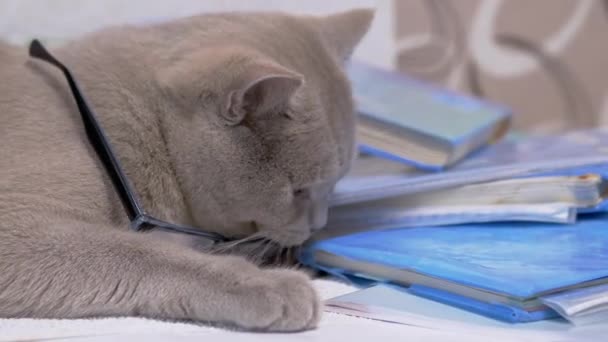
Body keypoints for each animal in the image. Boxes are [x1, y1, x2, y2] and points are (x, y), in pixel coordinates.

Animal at [0, 10, 372, 332]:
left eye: (334, 185)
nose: (319, 224)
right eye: (299, 190)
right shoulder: (16, 226)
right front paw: (271, 282)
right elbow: (144, 254)